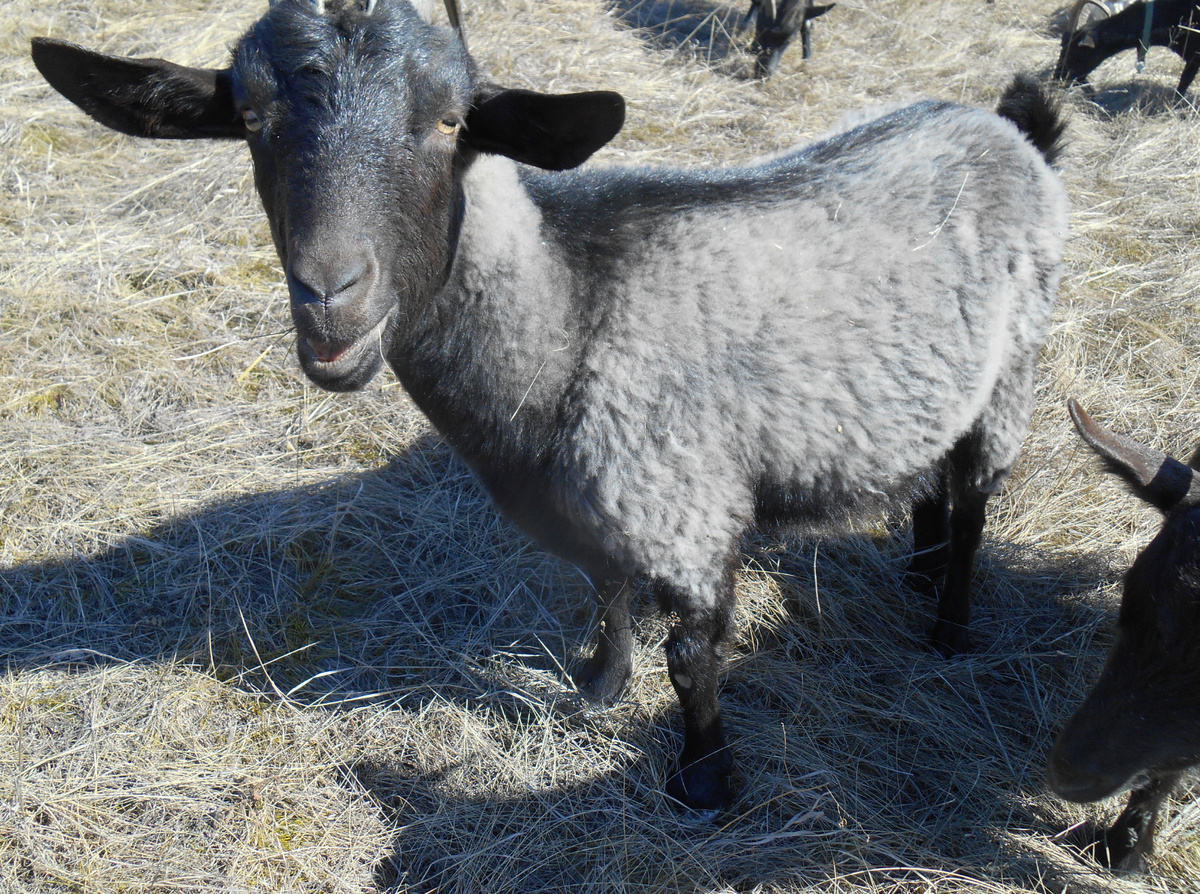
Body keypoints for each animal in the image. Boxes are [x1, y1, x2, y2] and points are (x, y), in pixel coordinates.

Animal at [30, 0, 1067, 812]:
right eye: (247, 116)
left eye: (451, 122)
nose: (331, 301)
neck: (568, 312)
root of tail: (1009, 130)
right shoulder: (600, 510)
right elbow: (603, 591)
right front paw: (598, 687)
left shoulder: (689, 510)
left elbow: (693, 657)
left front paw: (704, 780)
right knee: (934, 475)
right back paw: (918, 572)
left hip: (1017, 364)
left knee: (976, 497)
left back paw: (948, 623)